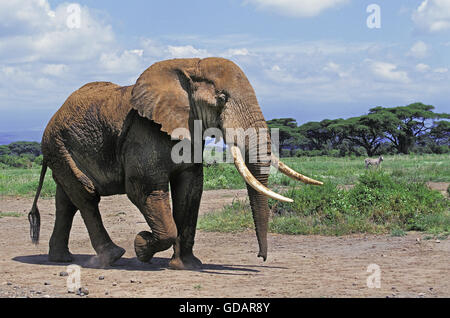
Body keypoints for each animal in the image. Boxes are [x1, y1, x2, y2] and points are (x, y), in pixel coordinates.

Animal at [28, 57, 322, 268]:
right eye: (222, 99)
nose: (261, 257)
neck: (190, 65)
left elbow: (190, 189)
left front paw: (187, 266)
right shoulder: (144, 132)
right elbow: (144, 189)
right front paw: (141, 247)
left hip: (61, 150)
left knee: (67, 200)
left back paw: (61, 259)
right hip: (57, 145)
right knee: (86, 195)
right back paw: (112, 256)